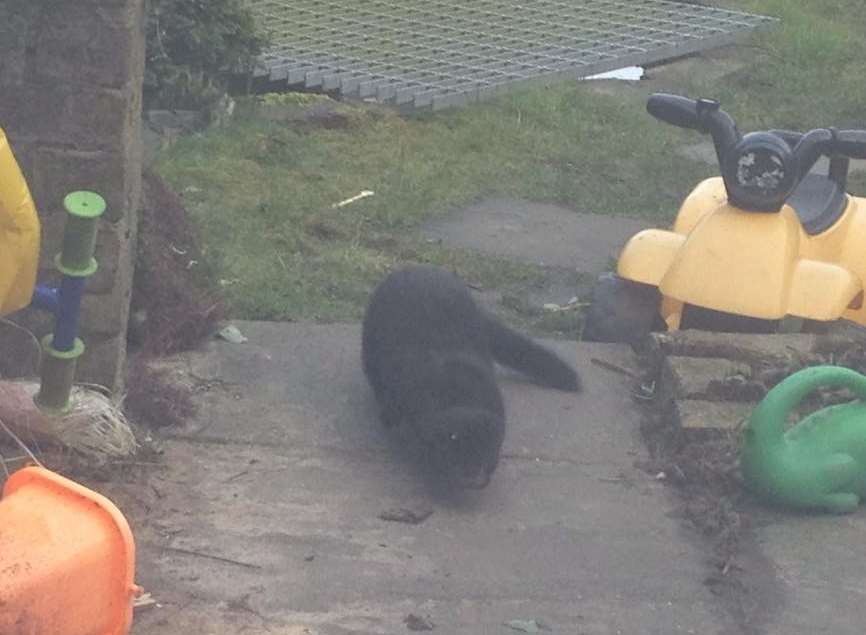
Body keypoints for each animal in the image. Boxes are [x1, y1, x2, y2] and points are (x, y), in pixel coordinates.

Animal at [362, 266, 576, 490]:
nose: (473, 479)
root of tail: (415, 268)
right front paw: (390, 420)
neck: (458, 383)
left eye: (486, 457)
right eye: (454, 456)